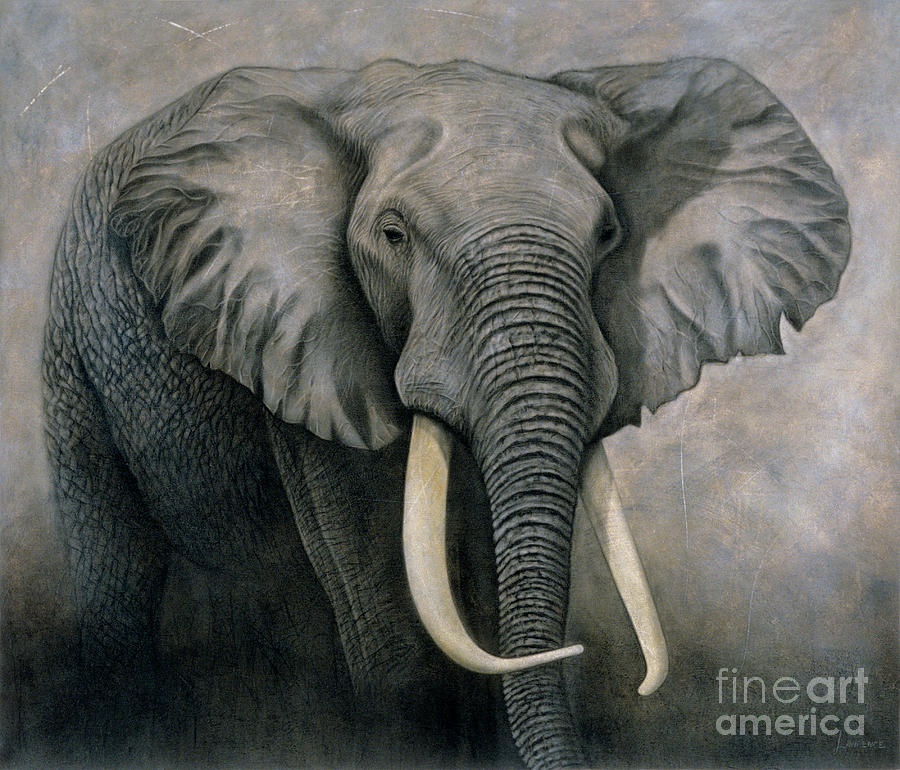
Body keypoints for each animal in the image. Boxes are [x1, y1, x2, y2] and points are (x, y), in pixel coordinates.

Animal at [41, 57, 850, 768]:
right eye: (393, 235)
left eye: (607, 236)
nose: (589, 656)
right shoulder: (303, 340)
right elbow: (385, 600)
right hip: (72, 361)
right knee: (115, 572)